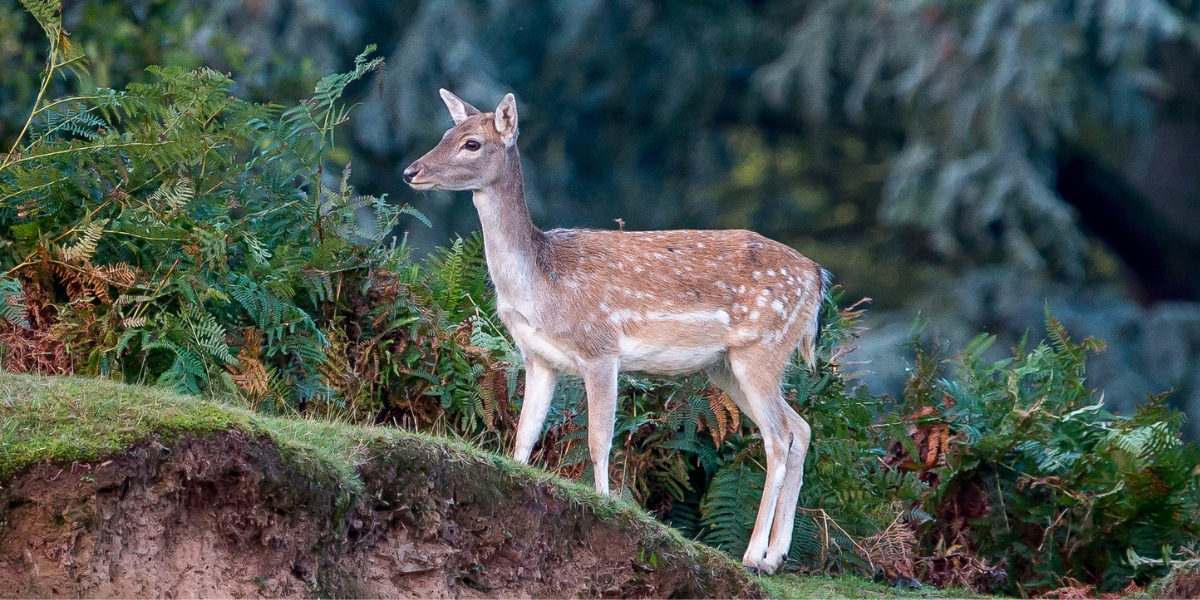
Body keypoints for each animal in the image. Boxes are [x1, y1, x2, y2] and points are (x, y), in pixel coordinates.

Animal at [403, 90, 831, 575]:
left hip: (762, 347)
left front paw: (604, 509)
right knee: (801, 429)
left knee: (778, 438)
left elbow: (598, 440)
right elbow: (524, 435)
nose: (411, 171)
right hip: (726, 367)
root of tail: (818, 278)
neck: (540, 284)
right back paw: (776, 556)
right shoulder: (539, 358)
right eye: (446, 134)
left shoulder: (600, 349)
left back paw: (752, 556)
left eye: (472, 143)